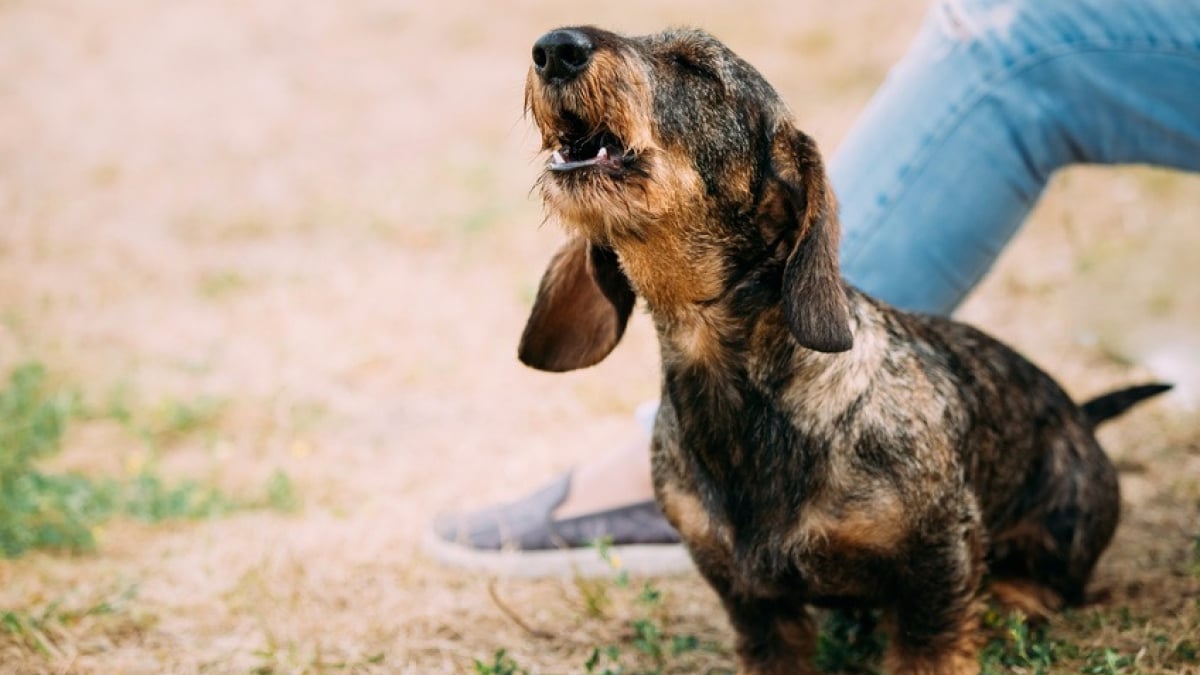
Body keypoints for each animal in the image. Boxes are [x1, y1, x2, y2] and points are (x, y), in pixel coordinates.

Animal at [518, 26, 1171, 672]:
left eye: (697, 67)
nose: (555, 47)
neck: (742, 398)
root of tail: (1080, 415)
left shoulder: (938, 561)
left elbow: (928, 646)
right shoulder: (749, 600)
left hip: (1065, 515)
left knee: (1053, 581)